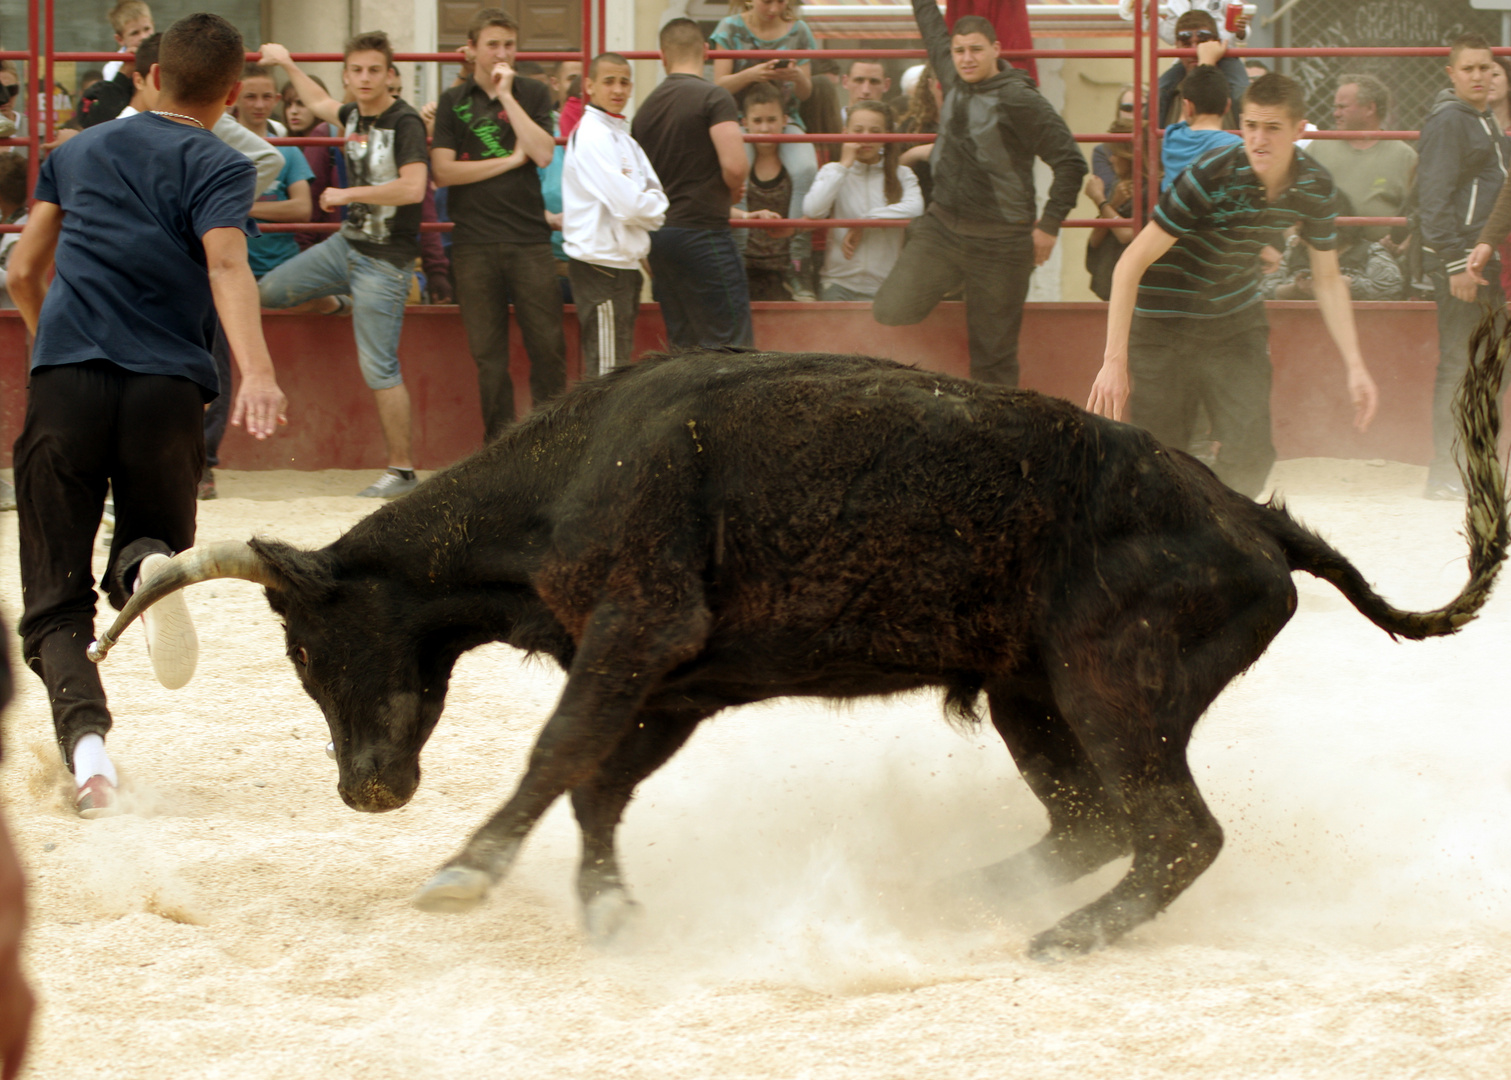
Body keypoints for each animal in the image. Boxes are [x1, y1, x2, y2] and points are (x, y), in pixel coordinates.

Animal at [94, 342, 1511, 960]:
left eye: (306, 644)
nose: (368, 789)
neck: (571, 475)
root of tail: (1249, 516)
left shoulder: (639, 633)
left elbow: (558, 757)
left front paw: (465, 871)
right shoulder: (675, 679)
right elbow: (598, 782)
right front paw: (606, 903)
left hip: (1112, 682)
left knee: (1171, 830)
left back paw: (1059, 936)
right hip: (1030, 697)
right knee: (1094, 822)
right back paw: (966, 897)